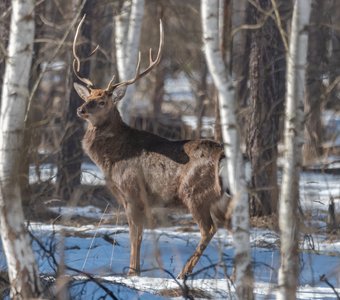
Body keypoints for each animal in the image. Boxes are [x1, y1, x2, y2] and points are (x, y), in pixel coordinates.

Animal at [73, 15, 232, 278]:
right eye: (88, 97)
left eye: (103, 101)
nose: (81, 109)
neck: (112, 159)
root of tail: (223, 155)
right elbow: (142, 235)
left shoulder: (132, 192)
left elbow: (134, 235)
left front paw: (132, 272)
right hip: (224, 198)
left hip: (195, 192)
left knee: (208, 229)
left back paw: (184, 272)